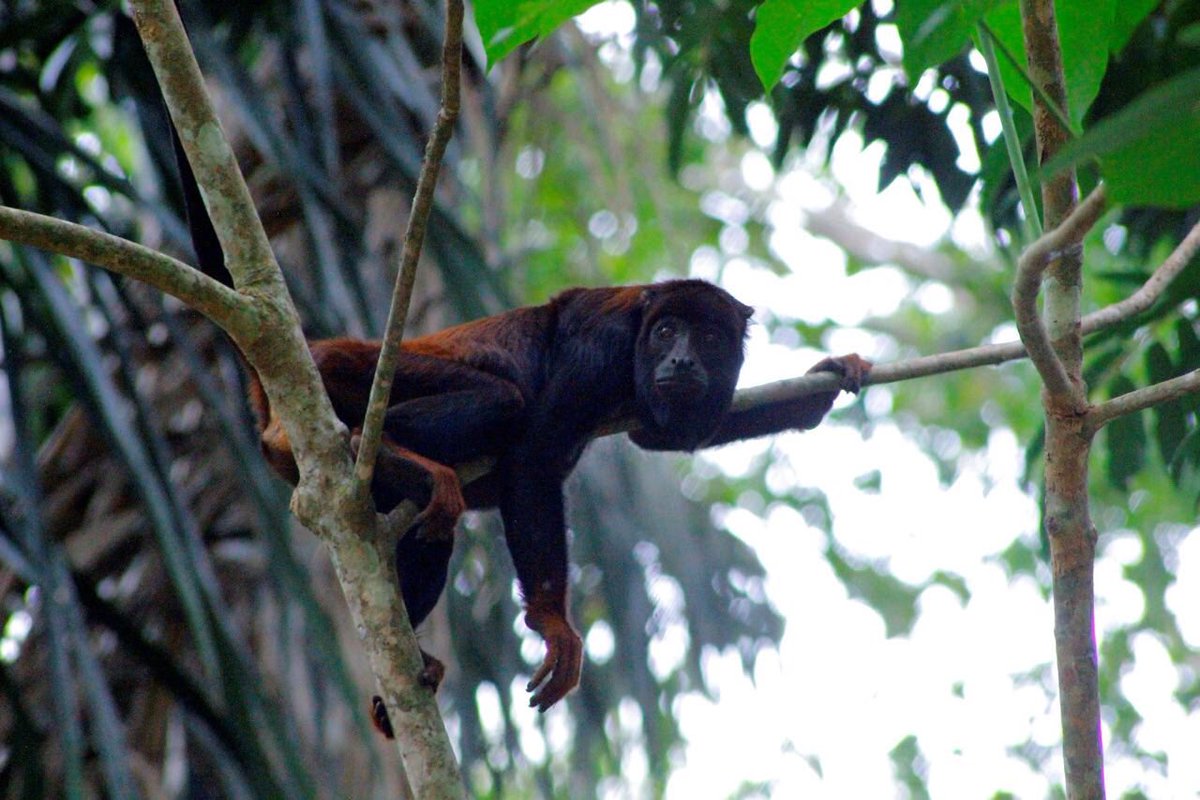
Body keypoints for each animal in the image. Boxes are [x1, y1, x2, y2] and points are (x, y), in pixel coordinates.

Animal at [169, 123, 868, 714]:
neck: (638, 341)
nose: (680, 359)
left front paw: (827, 381)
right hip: (354, 367)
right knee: (501, 404)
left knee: (430, 533)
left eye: (712, 339)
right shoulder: (601, 347)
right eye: (668, 330)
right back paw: (384, 451)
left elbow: (665, 436)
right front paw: (555, 625)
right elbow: (533, 462)